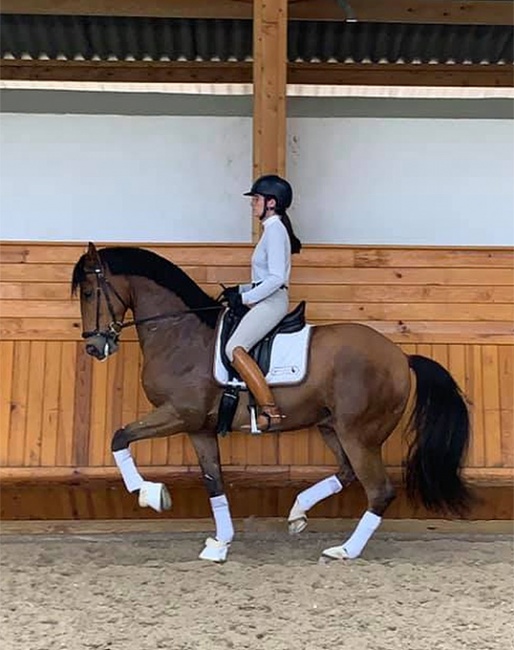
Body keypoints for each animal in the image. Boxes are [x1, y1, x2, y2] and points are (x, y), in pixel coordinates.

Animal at [72, 243, 472, 560]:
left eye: (89, 292)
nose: (94, 347)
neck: (180, 334)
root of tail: (402, 357)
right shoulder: (199, 428)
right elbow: (213, 482)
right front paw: (220, 544)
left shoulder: (178, 414)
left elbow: (120, 437)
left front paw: (151, 495)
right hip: (332, 427)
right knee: (346, 473)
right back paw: (298, 512)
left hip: (358, 434)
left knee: (379, 491)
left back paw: (345, 550)